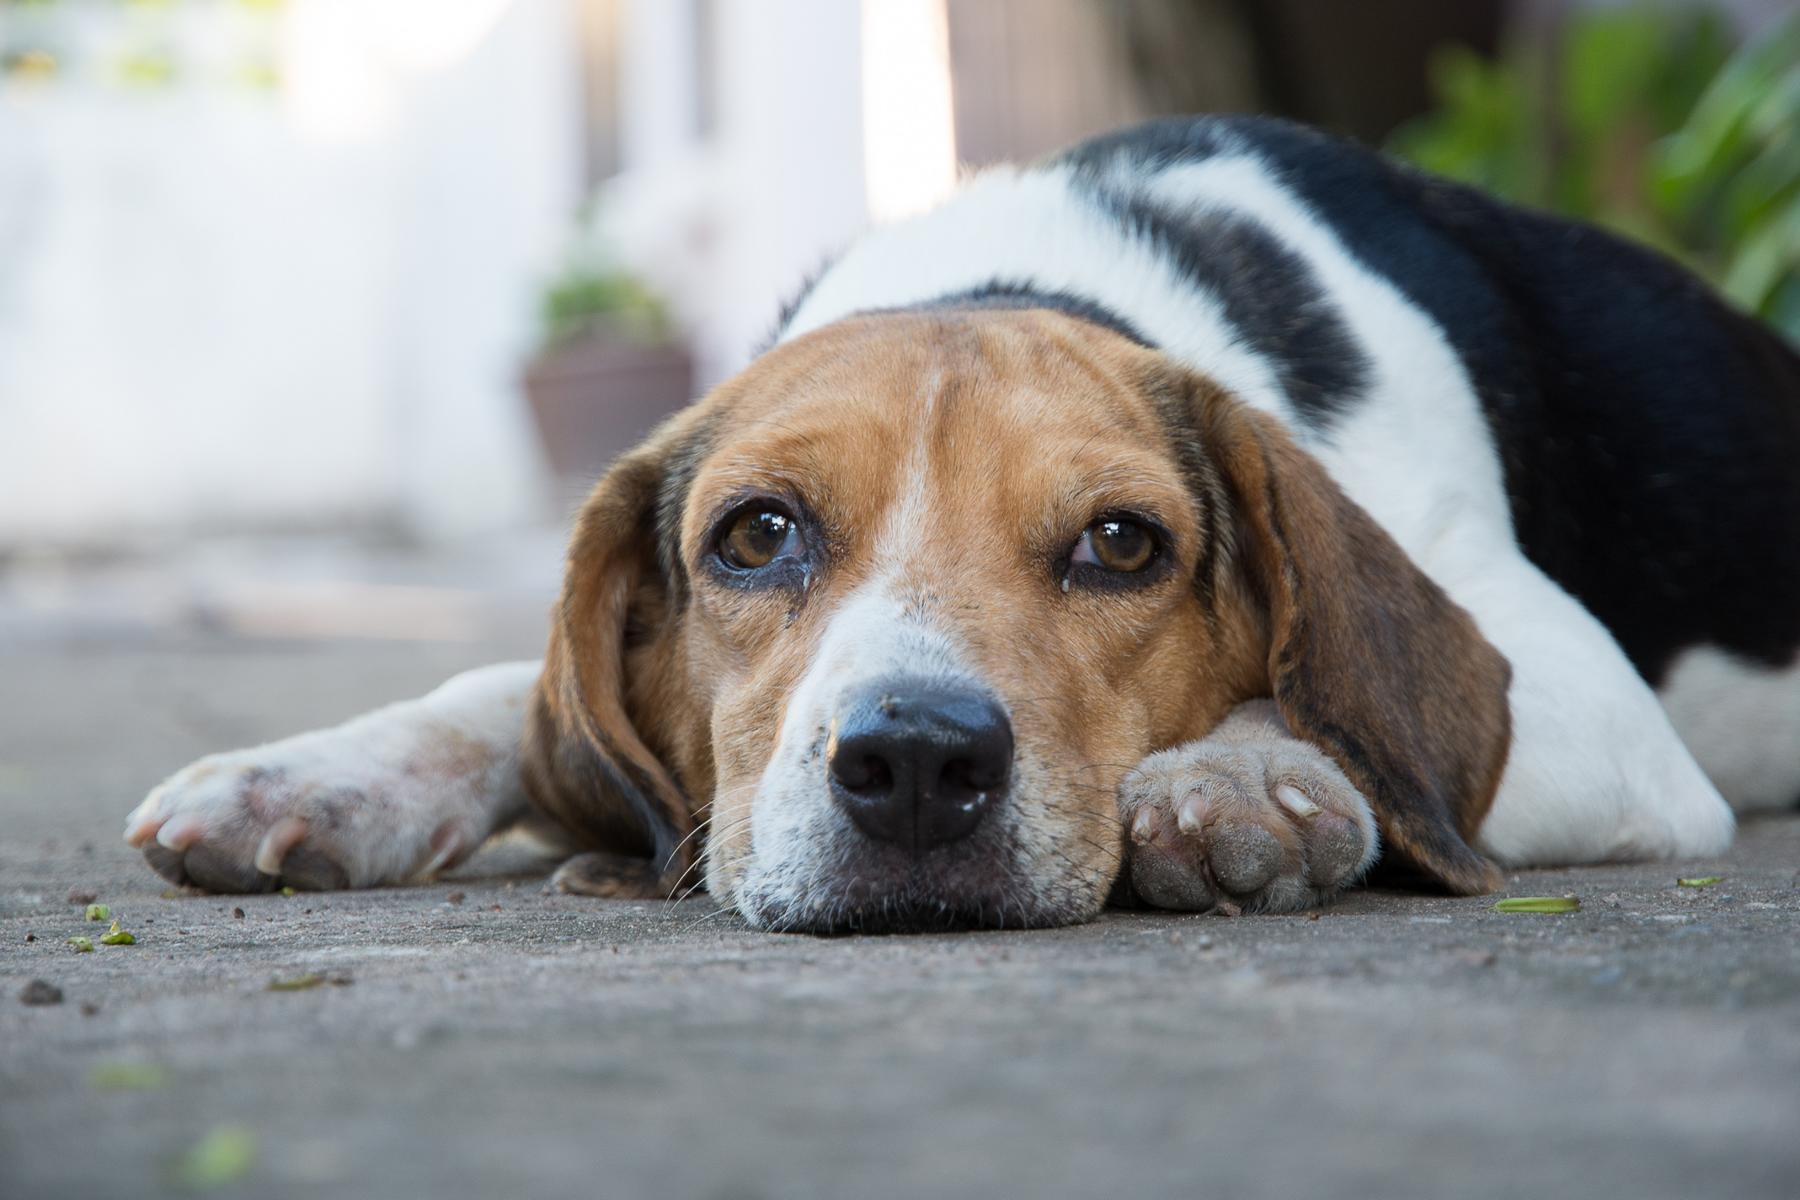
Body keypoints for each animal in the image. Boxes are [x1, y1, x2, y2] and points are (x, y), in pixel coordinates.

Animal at [123, 116, 1800, 935]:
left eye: (1122, 546)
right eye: (754, 537)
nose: (917, 765)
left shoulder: (1607, 713)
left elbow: (1340, 711)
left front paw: (1248, 774)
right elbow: (499, 694)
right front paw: (324, 774)